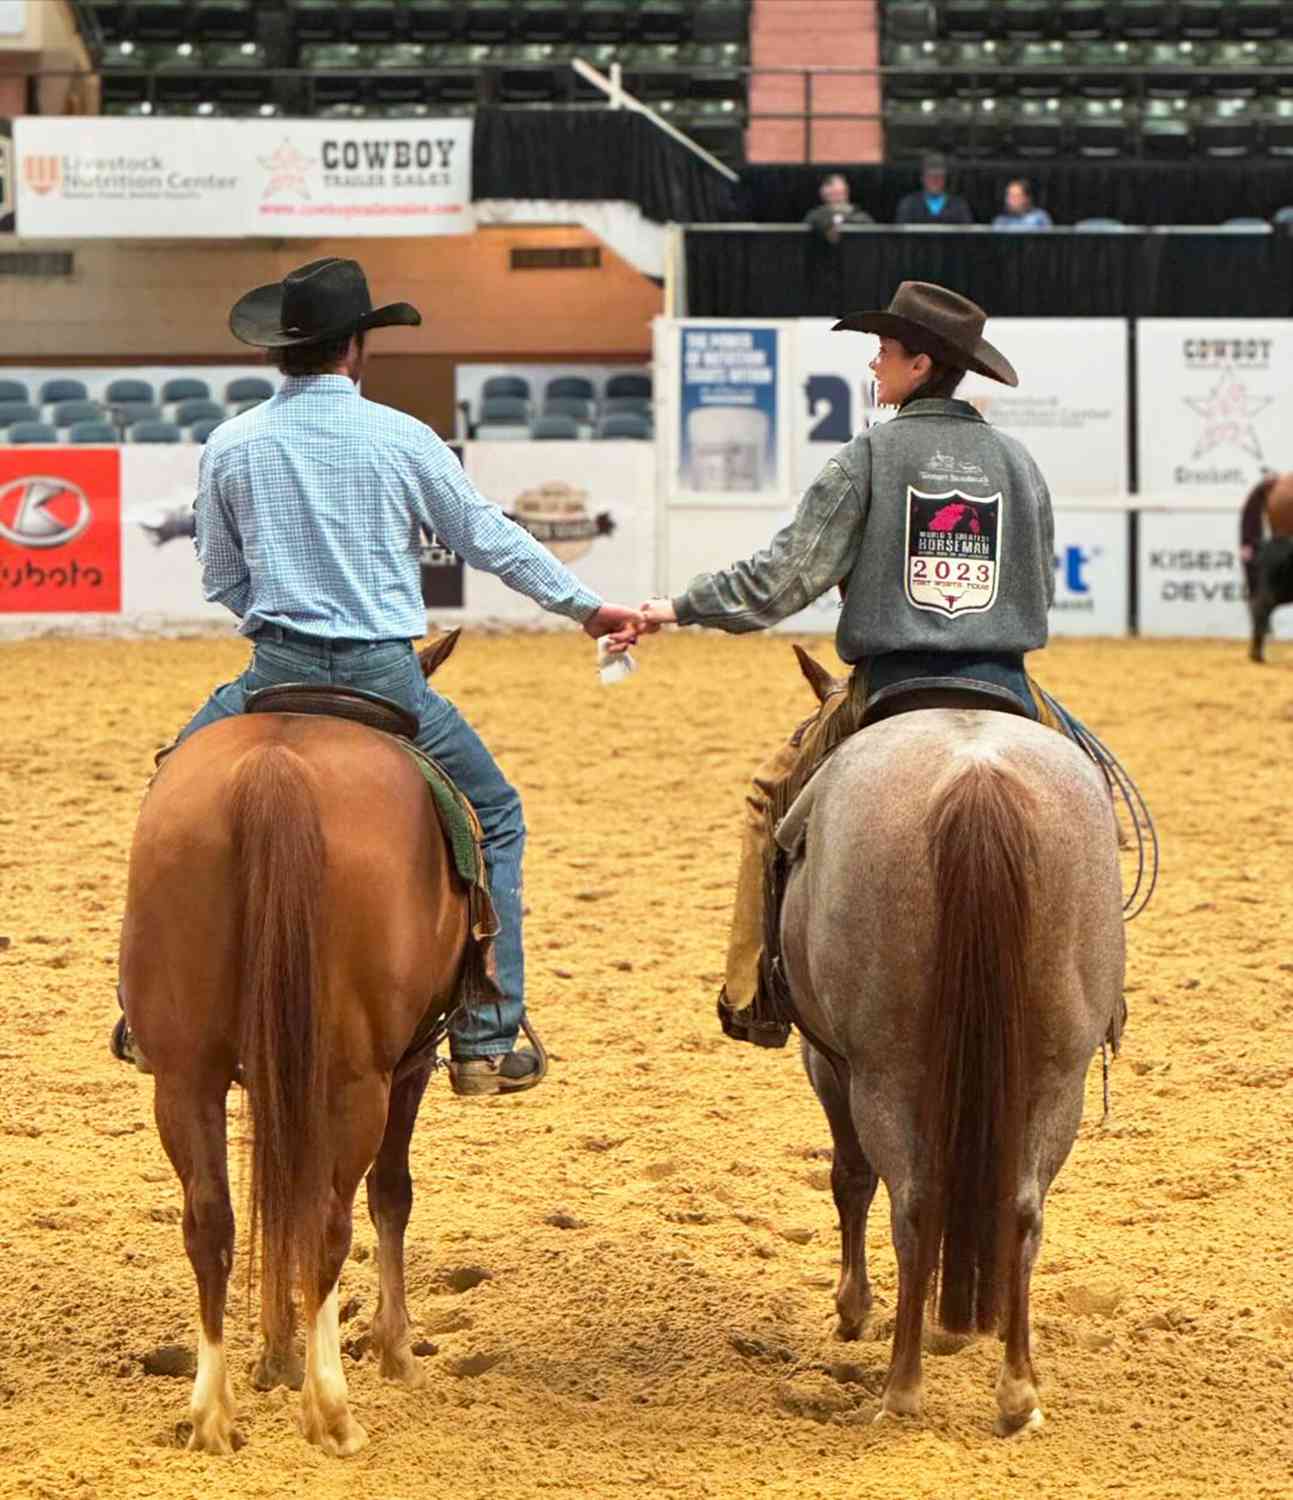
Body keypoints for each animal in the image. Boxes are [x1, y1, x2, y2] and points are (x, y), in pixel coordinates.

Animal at [117, 633, 471, 1452]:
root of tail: (275, 769)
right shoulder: (409, 1062)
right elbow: (388, 1193)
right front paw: (395, 1350)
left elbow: (270, 1192)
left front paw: (273, 1356)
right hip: (358, 1077)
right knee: (329, 1218)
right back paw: (331, 1409)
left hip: (184, 1072)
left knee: (210, 1218)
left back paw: (210, 1415)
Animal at [780, 651, 1122, 1434]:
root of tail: (977, 779)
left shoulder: (829, 1063)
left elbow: (848, 1177)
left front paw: (852, 1308)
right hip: (1056, 1074)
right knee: (1022, 1206)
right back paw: (1018, 1391)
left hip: (886, 1072)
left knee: (912, 1202)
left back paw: (901, 1389)